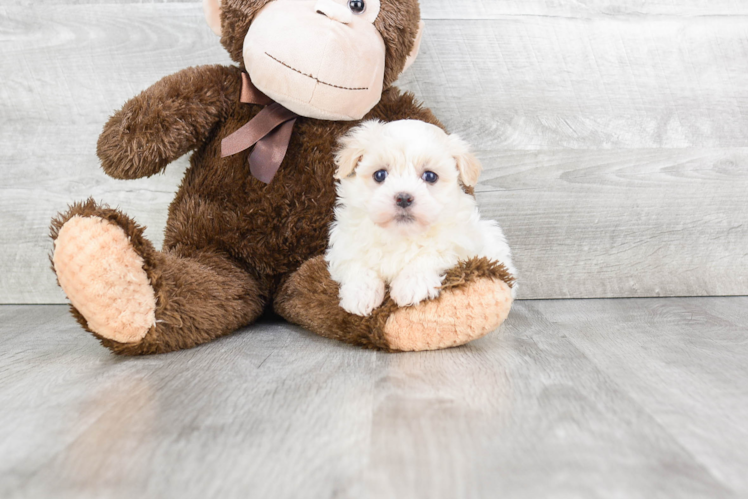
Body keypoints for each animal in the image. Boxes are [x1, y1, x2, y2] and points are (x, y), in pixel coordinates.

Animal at [328, 119, 516, 316]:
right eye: (380, 175)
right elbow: (356, 263)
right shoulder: (345, 243)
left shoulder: (457, 243)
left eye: (430, 176)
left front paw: (410, 286)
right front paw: (360, 294)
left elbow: (430, 255)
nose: (403, 197)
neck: (401, 234)